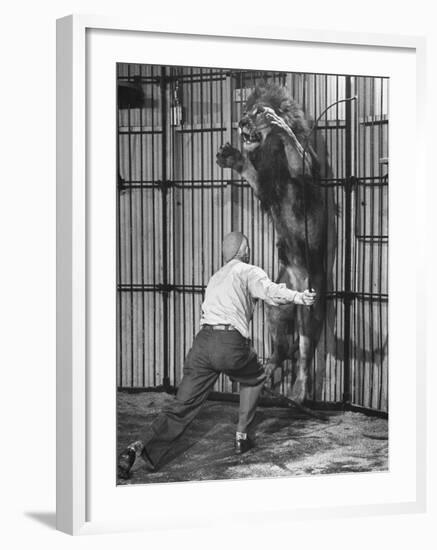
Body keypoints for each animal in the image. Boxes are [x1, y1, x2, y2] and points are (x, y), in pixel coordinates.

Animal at [216, 82, 326, 406]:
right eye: (244, 110)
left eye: (257, 112)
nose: (241, 121)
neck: (271, 152)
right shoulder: (265, 185)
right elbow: (251, 173)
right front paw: (233, 158)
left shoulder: (307, 172)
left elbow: (299, 155)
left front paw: (280, 125)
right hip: (277, 305)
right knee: (280, 349)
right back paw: (265, 373)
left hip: (307, 297)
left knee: (303, 351)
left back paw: (298, 391)